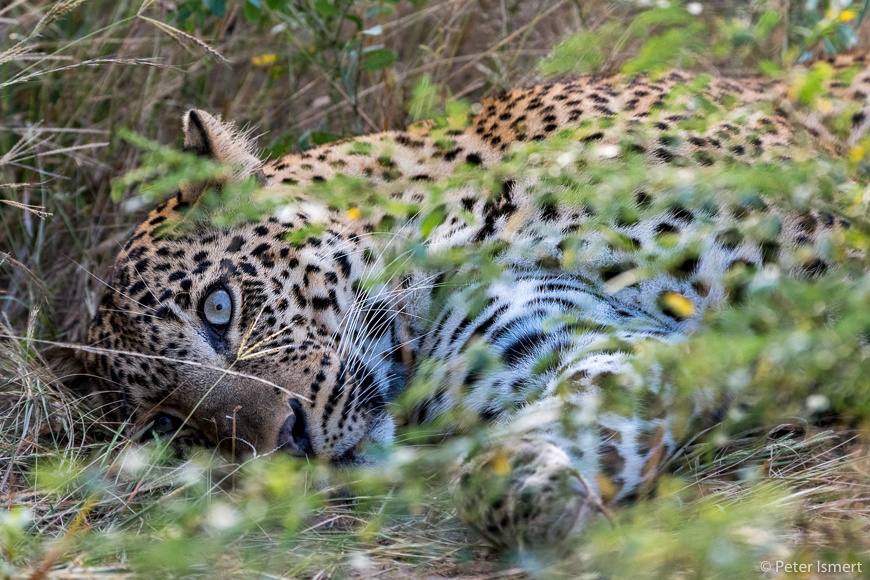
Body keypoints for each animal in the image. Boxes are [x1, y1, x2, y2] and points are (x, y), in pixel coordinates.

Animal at [82, 51, 870, 549]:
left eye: (219, 309)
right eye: (172, 425)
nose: (289, 444)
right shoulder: (571, 342)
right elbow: (554, 431)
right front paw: (546, 508)